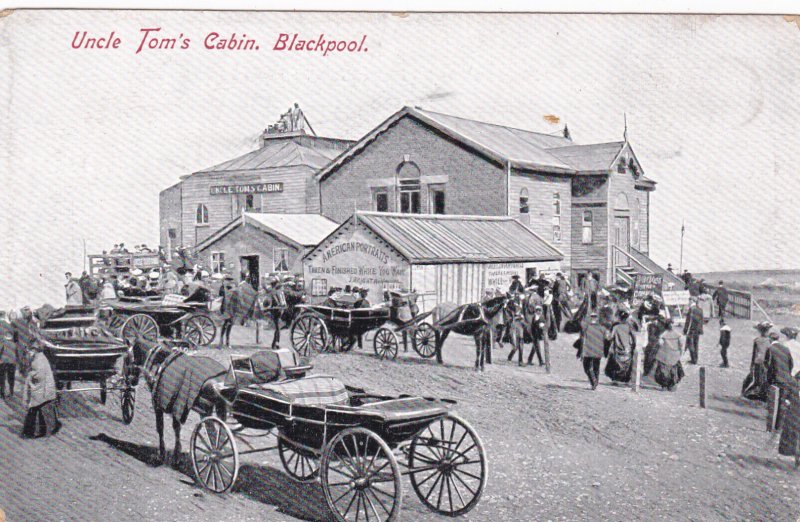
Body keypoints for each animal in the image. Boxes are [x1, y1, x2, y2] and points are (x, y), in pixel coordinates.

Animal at [126, 336, 228, 466]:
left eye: (126, 359)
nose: (131, 381)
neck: (160, 360)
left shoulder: (161, 403)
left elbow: (163, 428)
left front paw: (167, 455)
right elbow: (176, 428)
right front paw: (175, 454)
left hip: (206, 409)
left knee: (214, 432)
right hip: (216, 409)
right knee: (220, 433)